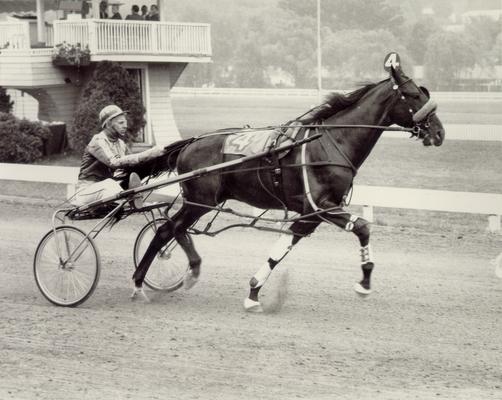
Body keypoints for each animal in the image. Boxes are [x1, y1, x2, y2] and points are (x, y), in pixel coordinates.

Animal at [131, 63, 446, 312]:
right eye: (414, 94)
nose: (440, 132)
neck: (329, 141)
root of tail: (190, 142)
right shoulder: (321, 207)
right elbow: (362, 227)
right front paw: (365, 282)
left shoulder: (311, 215)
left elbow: (281, 249)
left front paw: (253, 292)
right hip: (200, 201)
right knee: (168, 230)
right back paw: (163, 277)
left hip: (200, 202)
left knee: (169, 231)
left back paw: (165, 277)